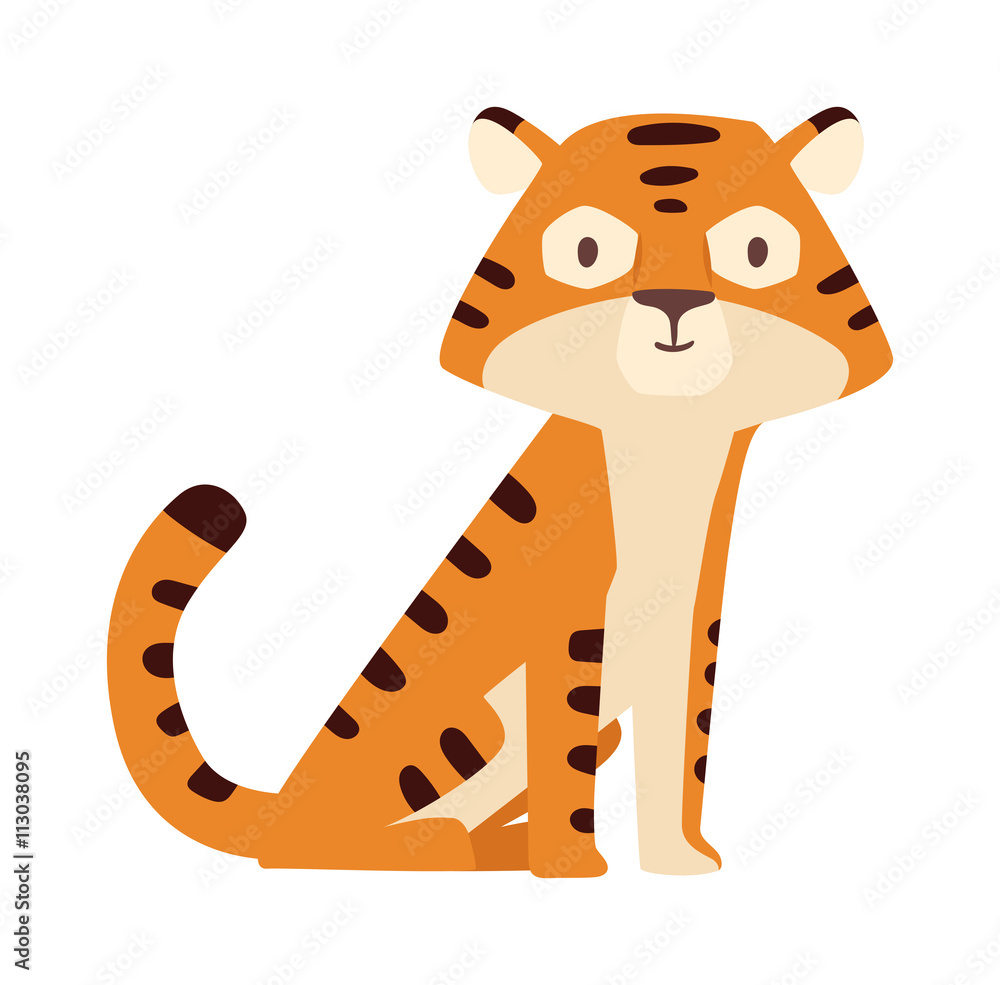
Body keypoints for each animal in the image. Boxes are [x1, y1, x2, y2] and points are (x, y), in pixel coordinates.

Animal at [107, 106, 892, 876]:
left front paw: (682, 859)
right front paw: (575, 863)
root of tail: (283, 799)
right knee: (304, 847)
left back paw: (494, 848)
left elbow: (683, 750)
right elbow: (569, 750)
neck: (663, 445)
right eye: (586, 250)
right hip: (463, 728)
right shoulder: (564, 620)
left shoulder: (691, 623)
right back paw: (430, 845)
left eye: (757, 250)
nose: (674, 302)